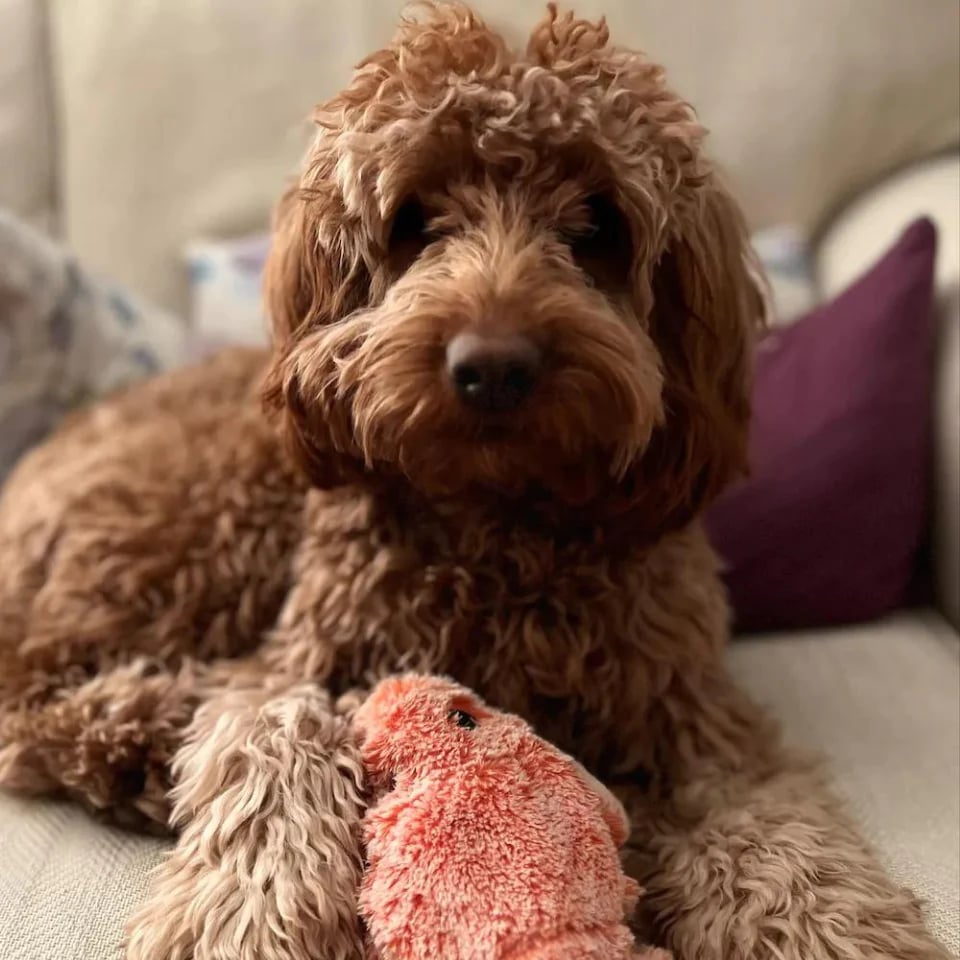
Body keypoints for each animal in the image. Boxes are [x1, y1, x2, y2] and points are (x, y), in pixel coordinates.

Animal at [0, 5, 944, 960]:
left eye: (598, 223)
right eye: (415, 217)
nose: (493, 368)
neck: (500, 520)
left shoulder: (694, 720)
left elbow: (776, 839)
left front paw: (832, 927)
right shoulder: (300, 667)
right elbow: (277, 756)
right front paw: (246, 918)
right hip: (200, 524)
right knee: (30, 693)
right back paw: (145, 733)